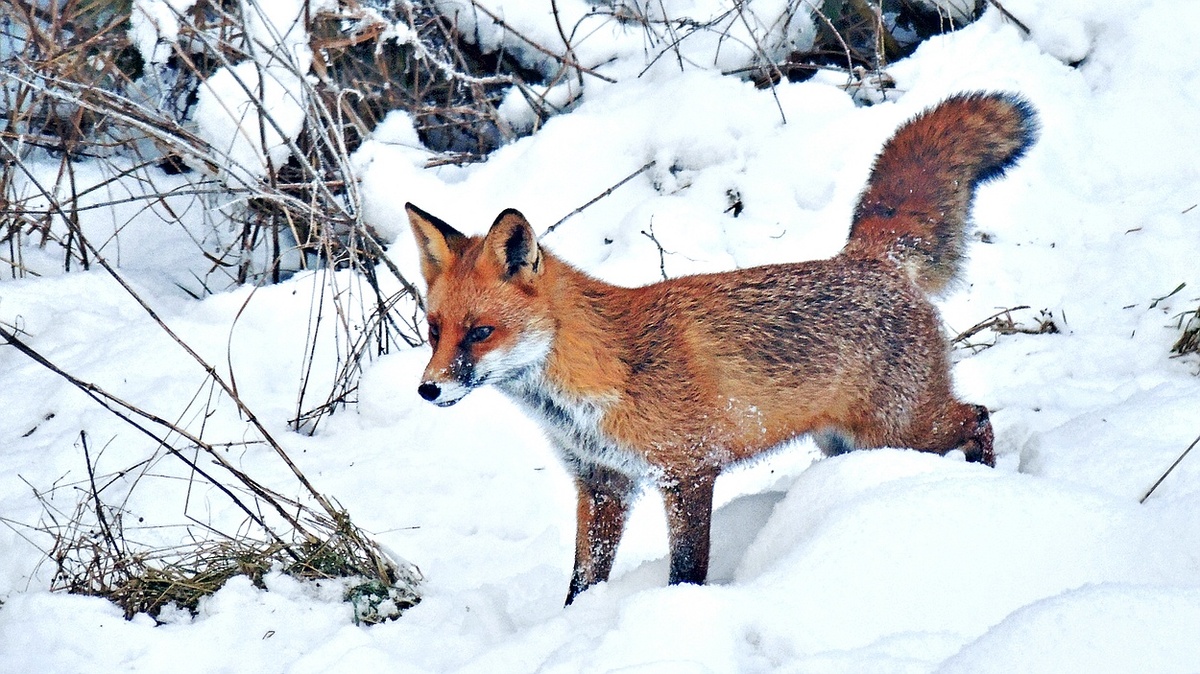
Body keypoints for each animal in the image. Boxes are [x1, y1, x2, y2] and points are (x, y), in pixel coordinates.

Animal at [405, 92, 1037, 605]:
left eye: (481, 332)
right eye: (435, 329)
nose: (428, 389)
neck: (596, 380)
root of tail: (869, 259)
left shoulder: (687, 473)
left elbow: (687, 570)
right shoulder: (603, 484)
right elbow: (581, 584)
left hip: (900, 429)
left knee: (978, 417)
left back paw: (985, 483)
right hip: (848, 443)